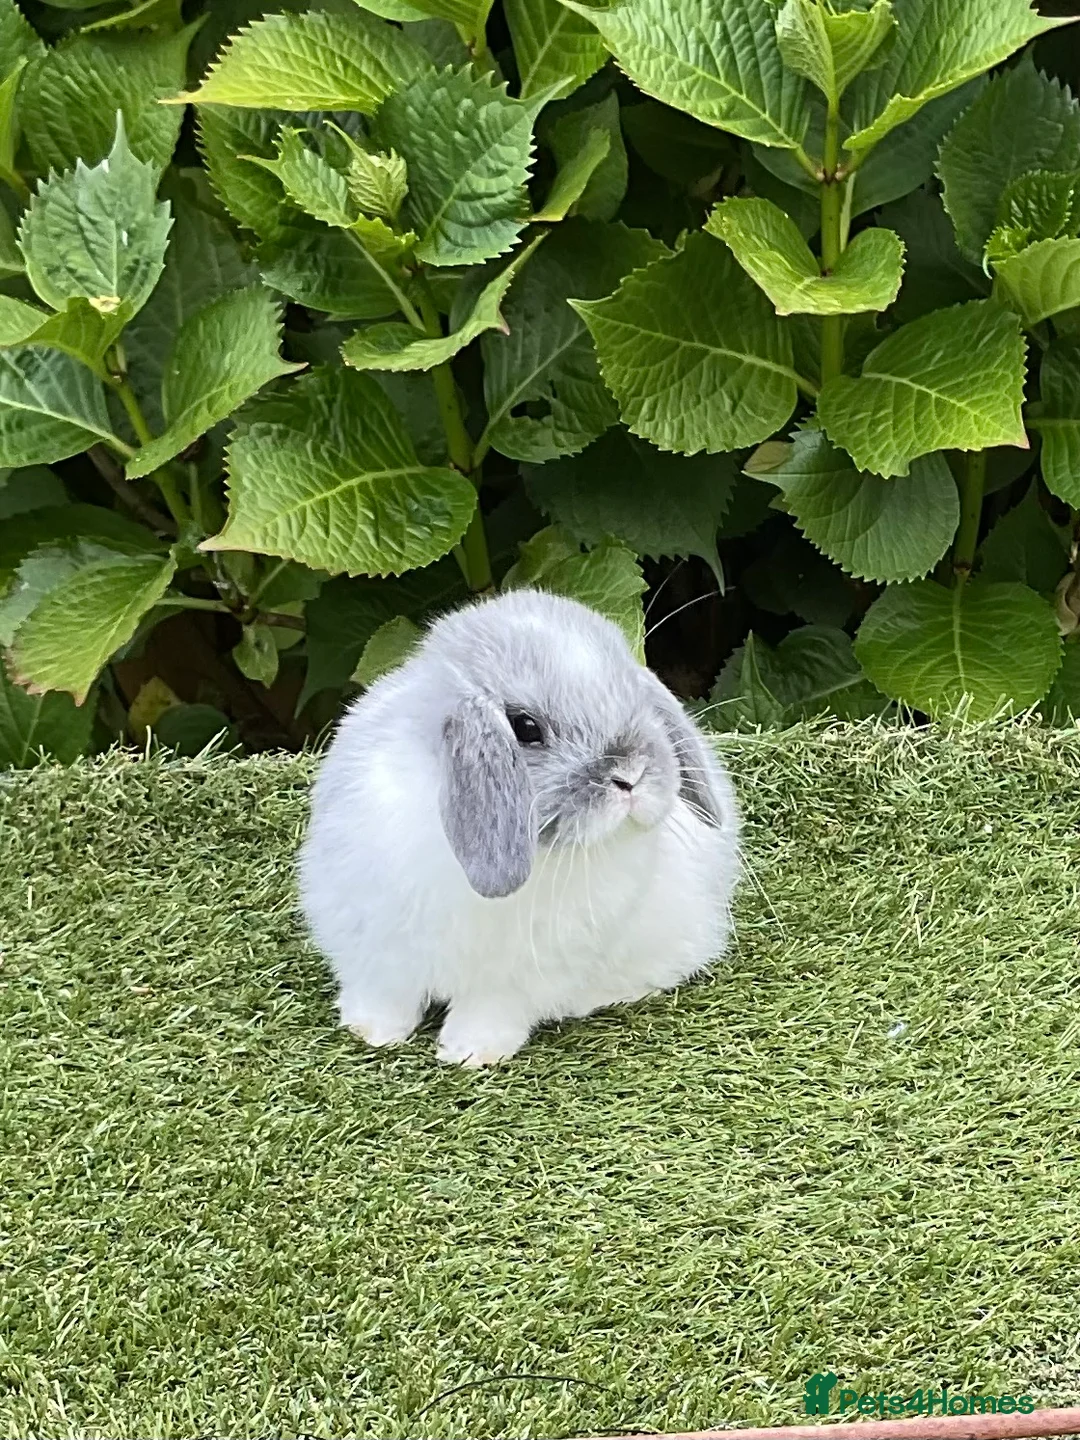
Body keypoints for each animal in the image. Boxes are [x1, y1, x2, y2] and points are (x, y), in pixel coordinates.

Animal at [298, 587, 740, 1066]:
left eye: (637, 701)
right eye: (525, 727)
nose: (631, 775)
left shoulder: (518, 975)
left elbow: (489, 1009)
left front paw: (470, 1053)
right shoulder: (375, 943)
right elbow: (386, 993)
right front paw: (370, 1032)